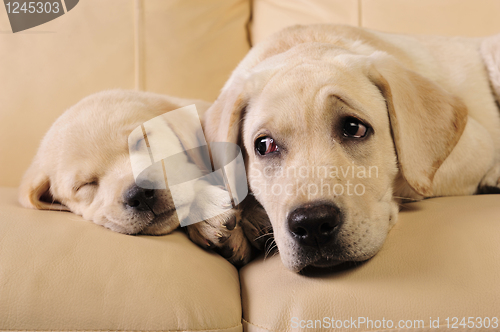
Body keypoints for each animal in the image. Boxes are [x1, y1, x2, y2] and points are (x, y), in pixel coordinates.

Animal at [202, 24, 500, 272]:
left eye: (354, 128)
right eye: (264, 146)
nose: (312, 224)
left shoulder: (475, 145)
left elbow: (408, 180)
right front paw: (212, 216)